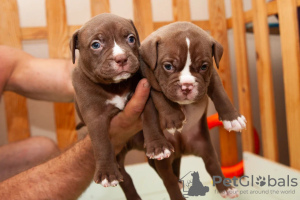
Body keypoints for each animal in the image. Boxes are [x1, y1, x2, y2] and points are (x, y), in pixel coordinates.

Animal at [70, 13, 142, 187]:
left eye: (131, 38)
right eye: (96, 44)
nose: (121, 58)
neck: (115, 86)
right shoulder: (95, 117)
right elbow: (101, 143)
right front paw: (107, 173)